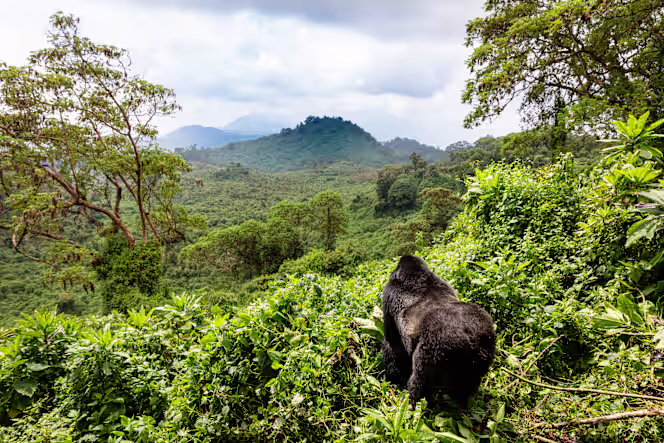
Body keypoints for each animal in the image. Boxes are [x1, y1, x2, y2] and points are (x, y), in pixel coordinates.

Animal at [381, 255, 496, 407]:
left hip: (434, 349)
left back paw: (412, 404)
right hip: (486, 340)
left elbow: (392, 344)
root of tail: (470, 339)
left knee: (418, 382)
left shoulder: (388, 292)